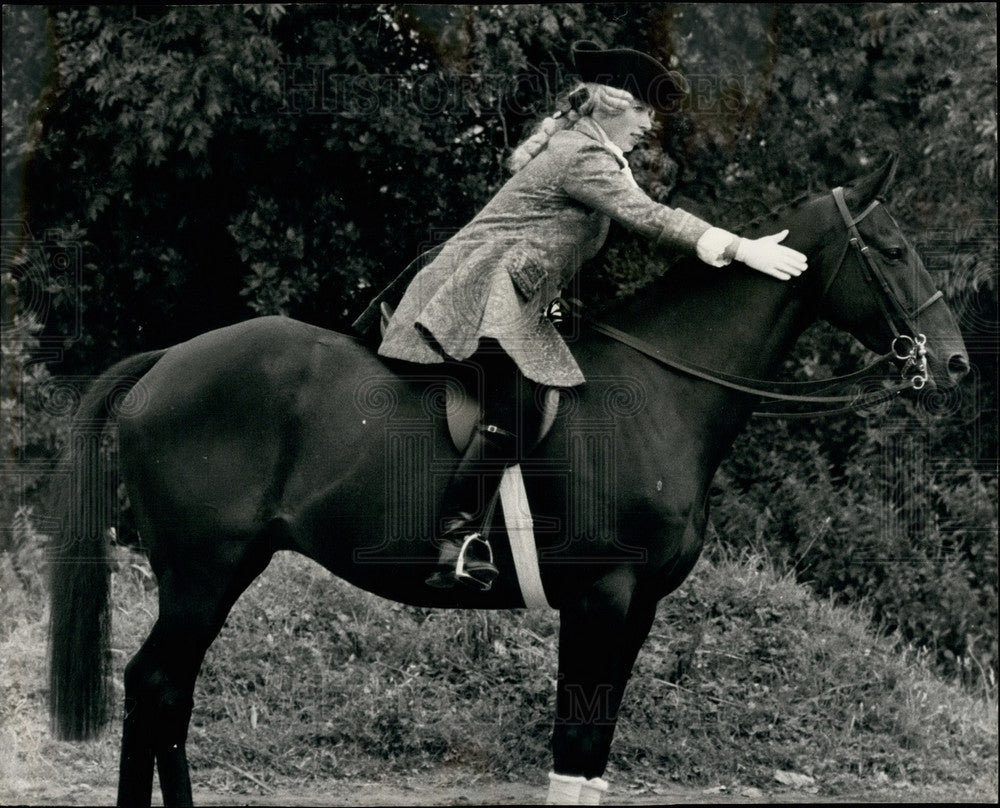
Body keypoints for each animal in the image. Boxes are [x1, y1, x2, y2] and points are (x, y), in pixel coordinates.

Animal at [47, 155, 968, 804]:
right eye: (892, 249)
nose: (954, 362)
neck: (662, 392)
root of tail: (168, 360)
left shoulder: (636, 607)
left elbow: (593, 756)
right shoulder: (600, 596)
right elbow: (574, 748)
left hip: (218, 571)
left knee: (166, 697)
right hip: (202, 572)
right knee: (156, 689)